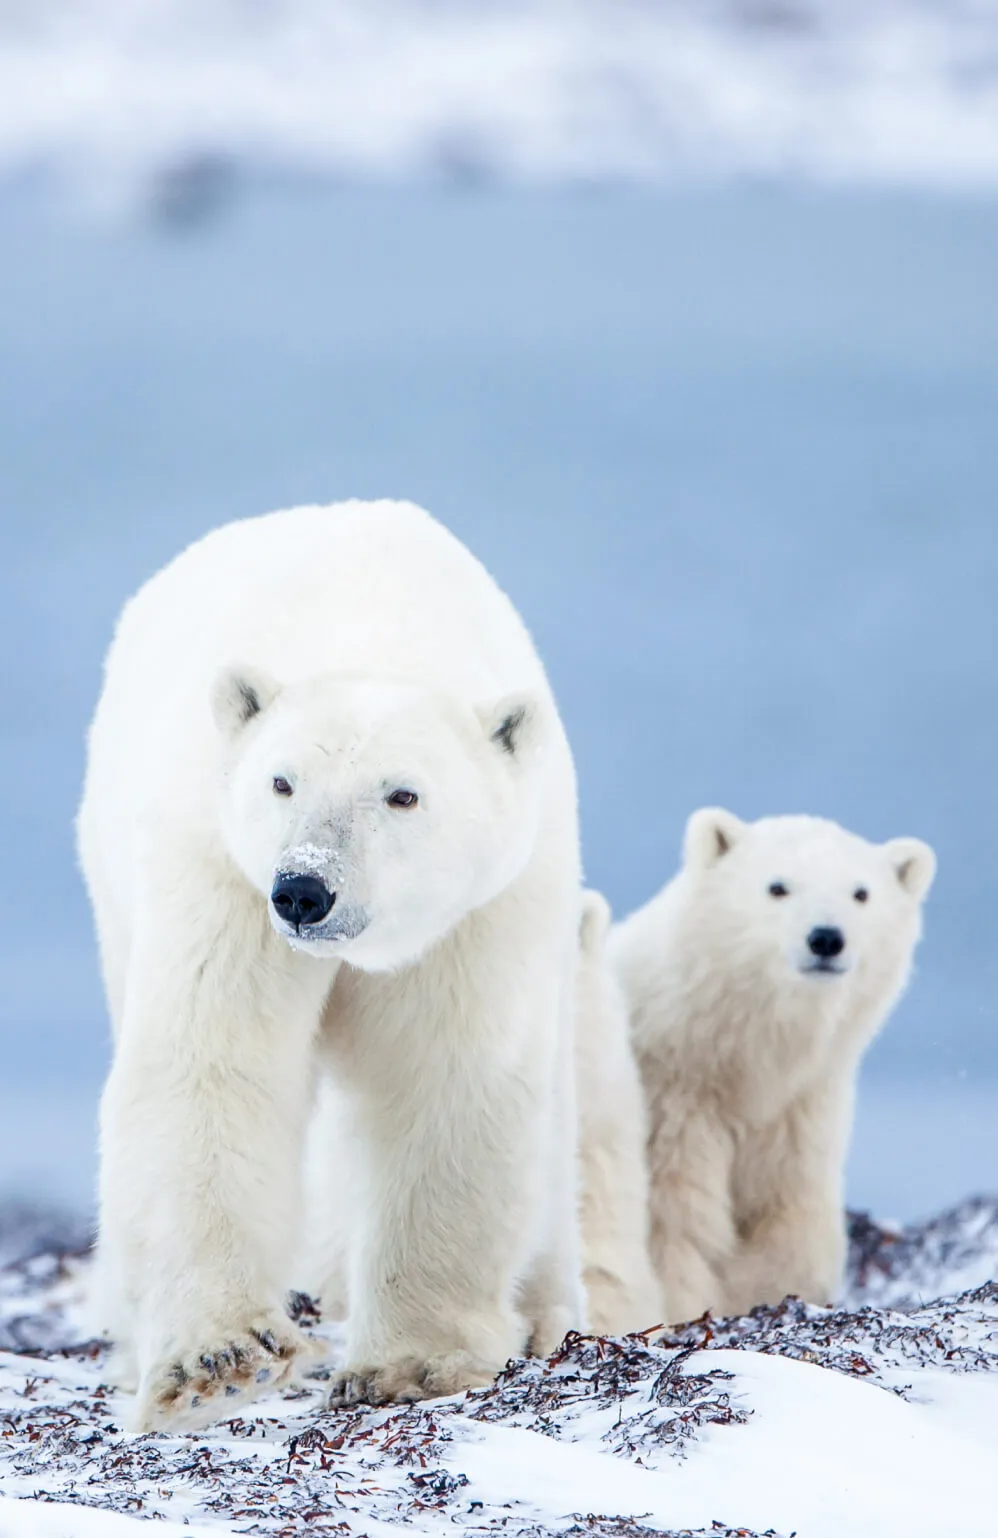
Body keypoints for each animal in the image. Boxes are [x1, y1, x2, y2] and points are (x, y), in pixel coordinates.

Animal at [77, 499, 585, 1430]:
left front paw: (413, 1363)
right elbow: (212, 1064)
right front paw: (221, 1362)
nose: (305, 891)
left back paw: (541, 1315)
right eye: (281, 782)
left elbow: (447, 1081)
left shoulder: (478, 912)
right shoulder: (220, 870)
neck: (369, 621)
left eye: (403, 793)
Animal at [608, 808, 935, 1324]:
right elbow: (674, 1222)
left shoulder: (799, 1110)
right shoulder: (673, 1103)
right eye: (777, 887)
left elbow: (787, 1215)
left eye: (861, 893)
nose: (826, 938)